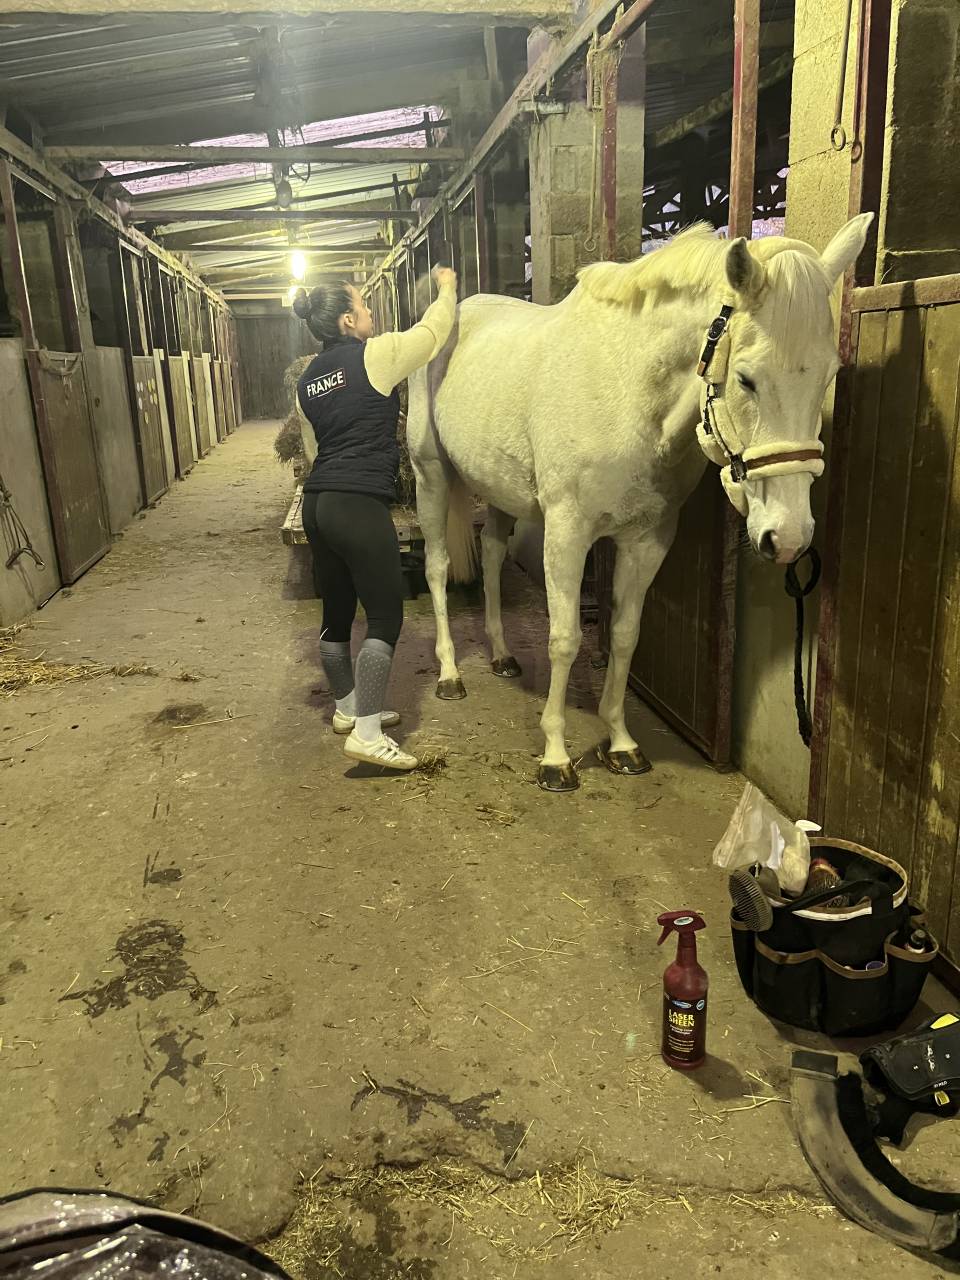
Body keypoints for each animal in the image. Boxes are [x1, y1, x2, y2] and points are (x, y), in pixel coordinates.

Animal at [407, 215, 873, 792]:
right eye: (746, 378)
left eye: (830, 375)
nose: (787, 538)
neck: (625, 390)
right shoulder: (567, 533)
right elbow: (565, 639)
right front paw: (556, 757)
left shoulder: (648, 538)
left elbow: (626, 637)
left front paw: (621, 743)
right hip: (431, 476)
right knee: (437, 567)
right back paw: (450, 674)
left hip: (497, 489)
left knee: (492, 557)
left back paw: (501, 655)